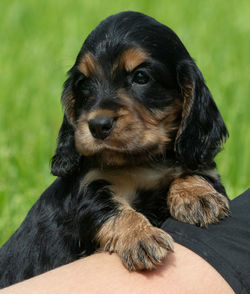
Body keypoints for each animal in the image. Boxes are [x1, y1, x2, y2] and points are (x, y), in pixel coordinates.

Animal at [0, 10, 230, 288]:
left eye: (141, 77)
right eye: (84, 84)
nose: (98, 125)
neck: (143, 160)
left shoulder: (201, 165)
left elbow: (194, 172)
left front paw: (199, 198)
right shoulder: (89, 187)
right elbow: (110, 209)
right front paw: (140, 237)